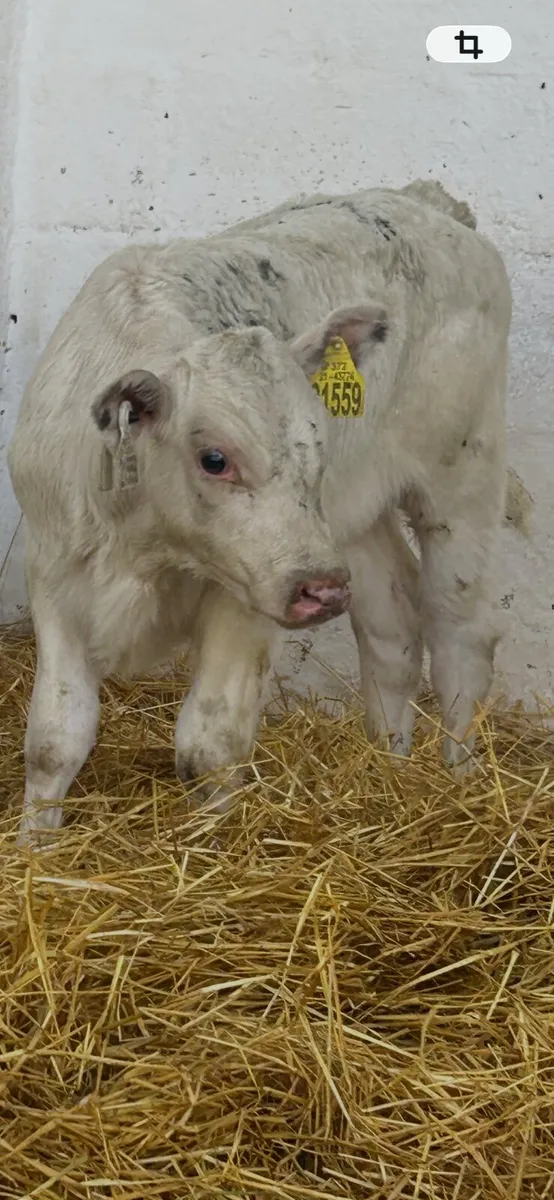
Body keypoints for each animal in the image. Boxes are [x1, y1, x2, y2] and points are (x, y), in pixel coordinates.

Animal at [7, 179, 532, 845]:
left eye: (317, 440)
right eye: (214, 458)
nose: (321, 591)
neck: (146, 547)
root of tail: (429, 202)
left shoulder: (248, 596)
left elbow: (209, 747)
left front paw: (208, 852)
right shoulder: (54, 574)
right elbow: (54, 739)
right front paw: (35, 850)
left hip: (458, 478)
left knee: (461, 632)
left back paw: (460, 785)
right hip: (348, 524)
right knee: (392, 624)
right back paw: (389, 764)